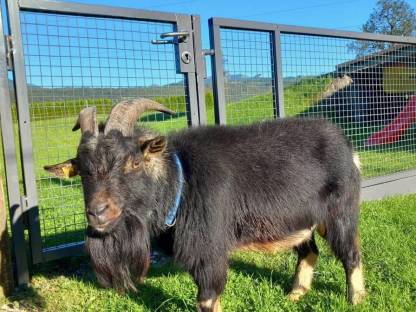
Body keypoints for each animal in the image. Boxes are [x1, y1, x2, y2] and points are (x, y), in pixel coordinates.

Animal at [44, 98, 366, 310]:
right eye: (82, 170)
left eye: (134, 162)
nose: (98, 213)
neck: (181, 179)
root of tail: (347, 146)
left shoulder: (209, 250)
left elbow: (208, 298)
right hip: (298, 219)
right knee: (308, 250)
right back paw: (295, 294)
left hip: (339, 212)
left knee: (350, 253)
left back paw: (356, 299)